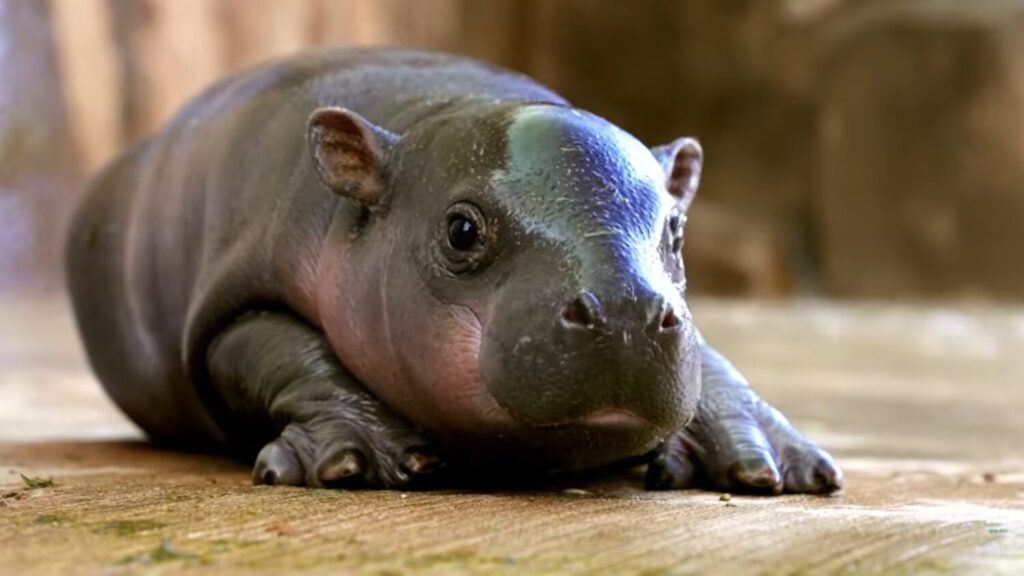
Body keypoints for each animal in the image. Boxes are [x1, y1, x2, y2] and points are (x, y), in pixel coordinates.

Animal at [66, 47, 842, 493]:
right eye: (461, 229)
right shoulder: (239, 298)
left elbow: (710, 357)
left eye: (676, 230)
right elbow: (276, 348)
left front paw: (774, 464)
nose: (625, 311)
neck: (441, 109)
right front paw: (359, 458)